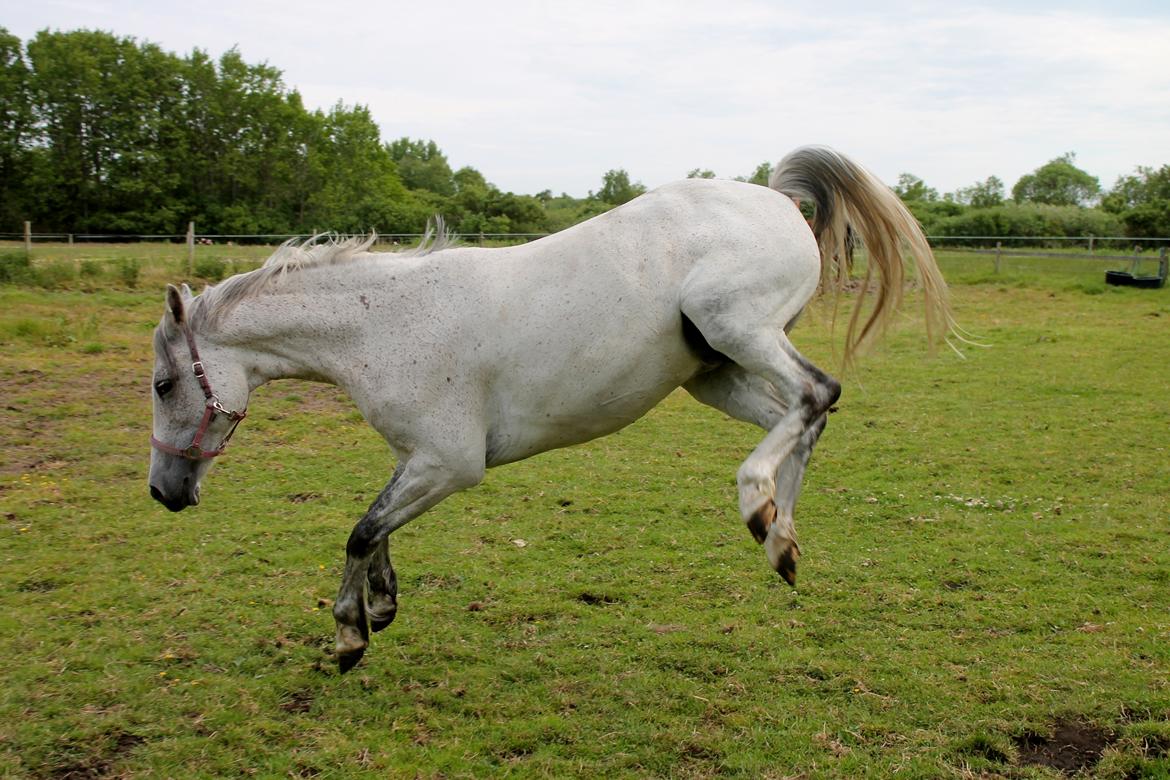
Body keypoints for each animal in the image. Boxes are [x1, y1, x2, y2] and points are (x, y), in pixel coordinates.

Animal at [148, 146, 950, 673]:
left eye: (161, 386)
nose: (164, 493)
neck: (384, 324)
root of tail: (776, 196)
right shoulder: (416, 461)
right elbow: (376, 530)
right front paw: (380, 606)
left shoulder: (449, 464)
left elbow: (360, 530)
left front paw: (349, 635)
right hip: (715, 373)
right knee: (805, 419)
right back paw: (781, 542)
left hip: (738, 329)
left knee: (817, 395)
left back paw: (757, 506)